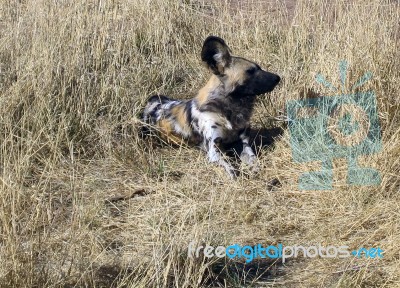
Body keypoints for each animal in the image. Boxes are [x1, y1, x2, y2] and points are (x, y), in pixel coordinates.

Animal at [142, 36, 280, 178]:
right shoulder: (214, 151)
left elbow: (253, 160)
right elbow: (232, 170)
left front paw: (256, 170)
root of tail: (152, 100)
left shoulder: (243, 143)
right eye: (250, 71)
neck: (230, 109)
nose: (278, 78)